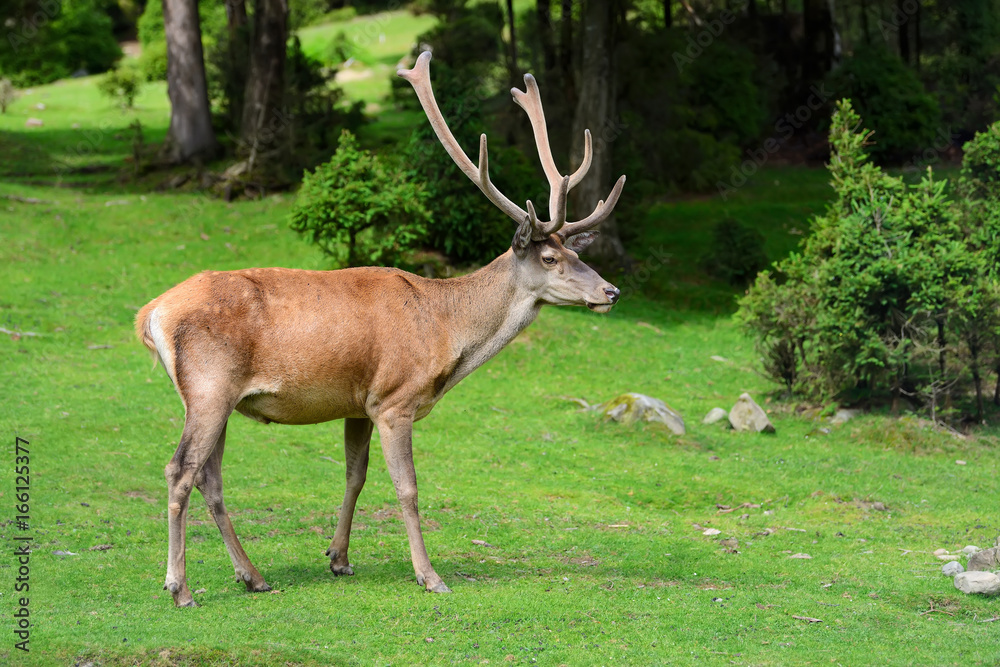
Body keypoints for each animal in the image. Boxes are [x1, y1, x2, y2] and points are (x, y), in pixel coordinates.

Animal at [135, 49, 624, 608]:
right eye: (549, 257)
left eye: (575, 253)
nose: (611, 291)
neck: (446, 333)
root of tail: (151, 313)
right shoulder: (394, 398)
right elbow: (407, 488)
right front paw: (430, 575)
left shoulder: (359, 402)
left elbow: (355, 475)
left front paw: (339, 558)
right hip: (210, 386)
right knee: (179, 470)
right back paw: (179, 587)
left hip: (213, 397)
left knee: (209, 478)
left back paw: (252, 575)